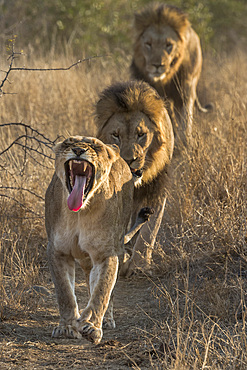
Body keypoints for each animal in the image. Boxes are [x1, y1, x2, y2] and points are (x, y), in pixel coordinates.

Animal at [45, 136, 151, 344]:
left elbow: (102, 290)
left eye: (95, 146)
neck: (79, 212)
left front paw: (91, 327)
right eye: (69, 142)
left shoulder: (105, 254)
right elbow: (65, 292)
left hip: (117, 244)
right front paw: (67, 327)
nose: (78, 150)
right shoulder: (58, 251)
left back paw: (106, 320)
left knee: (108, 288)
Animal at [94, 81, 174, 278]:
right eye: (116, 135)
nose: (129, 159)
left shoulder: (157, 187)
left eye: (141, 134)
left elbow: (149, 231)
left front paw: (139, 265)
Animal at [129, 2, 212, 145]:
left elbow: (185, 119)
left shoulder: (185, 90)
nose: (157, 65)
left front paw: (184, 142)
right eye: (148, 44)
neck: (165, 80)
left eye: (168, 45)